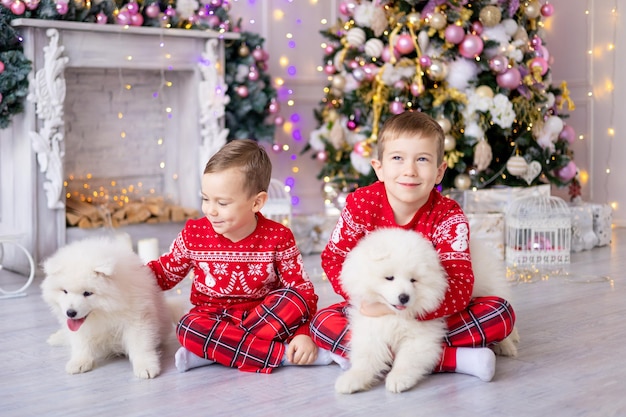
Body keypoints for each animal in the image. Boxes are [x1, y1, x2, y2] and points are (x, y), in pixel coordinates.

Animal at [39, 237, 176, 376]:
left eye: (87, 293)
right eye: (65, 291)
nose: (70, 313)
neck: (105, 311)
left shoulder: (138, 318)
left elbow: (140, 344)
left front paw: (146, 367)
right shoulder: (82, 328)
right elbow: (80, 343)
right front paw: (79, 362)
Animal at [334, 228, 446, 394]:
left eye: (413, 280)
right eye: (389, 277)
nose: (404, 297)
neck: (393, 315)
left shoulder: (420, 337)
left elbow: (407, 359)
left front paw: (398, 379)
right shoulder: (370, 330)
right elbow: (365, 357)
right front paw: (352, 378)